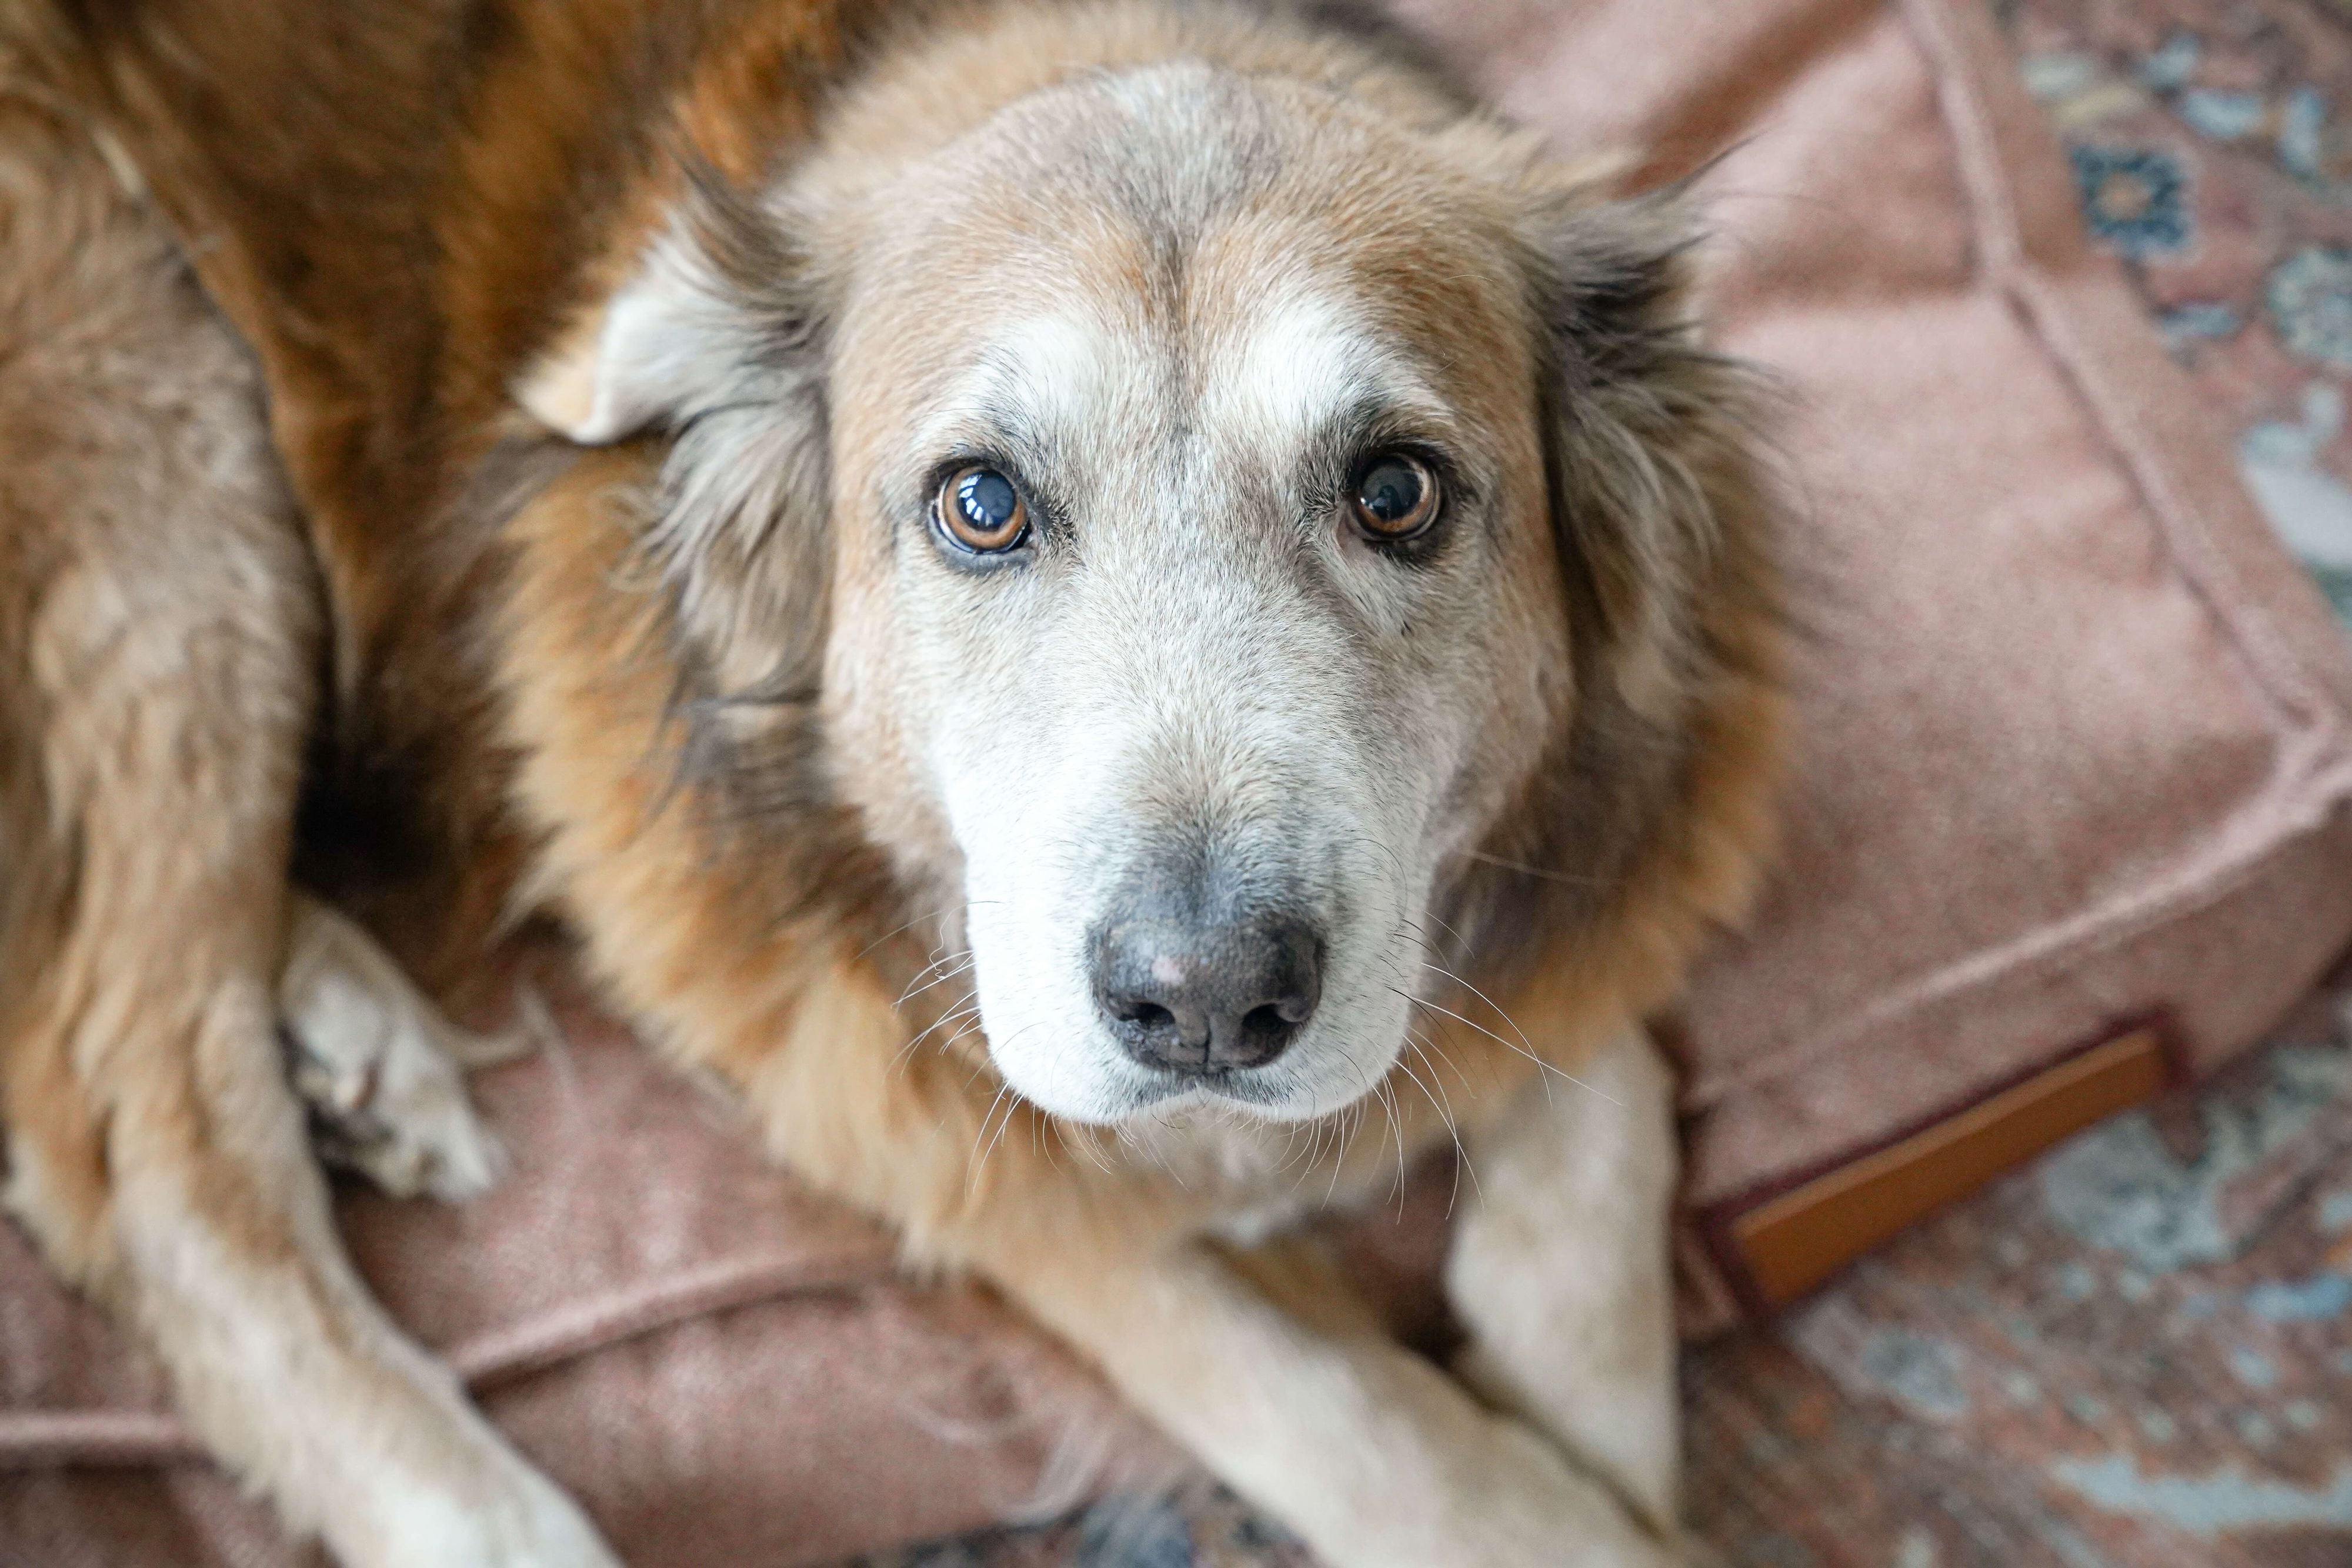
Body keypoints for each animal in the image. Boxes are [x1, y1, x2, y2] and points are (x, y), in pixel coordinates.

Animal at [4, 0, 1778, 1561]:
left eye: (1396, 491)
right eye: (979, 504)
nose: (1206, 1002)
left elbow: (1603, 1094)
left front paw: (1598, 1423)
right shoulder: (954, 1138)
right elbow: (1360, 1431)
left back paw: (342, 1029)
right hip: (169, 451)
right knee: (134, 1122)